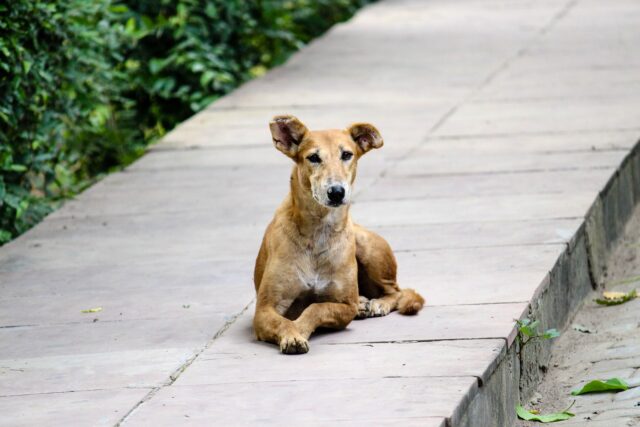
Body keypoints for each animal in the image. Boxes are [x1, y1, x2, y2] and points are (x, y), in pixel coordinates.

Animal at [251, 114, 424, 354]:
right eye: (313, 157)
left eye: (347, 155)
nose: (336, 192)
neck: (318, 230)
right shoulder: (264, 309)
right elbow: (284, 320)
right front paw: (292, 334)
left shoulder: (345, 305)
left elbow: (316, 307)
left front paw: (300, 328)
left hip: (366, 245)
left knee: (396, 290)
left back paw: (377, 303)